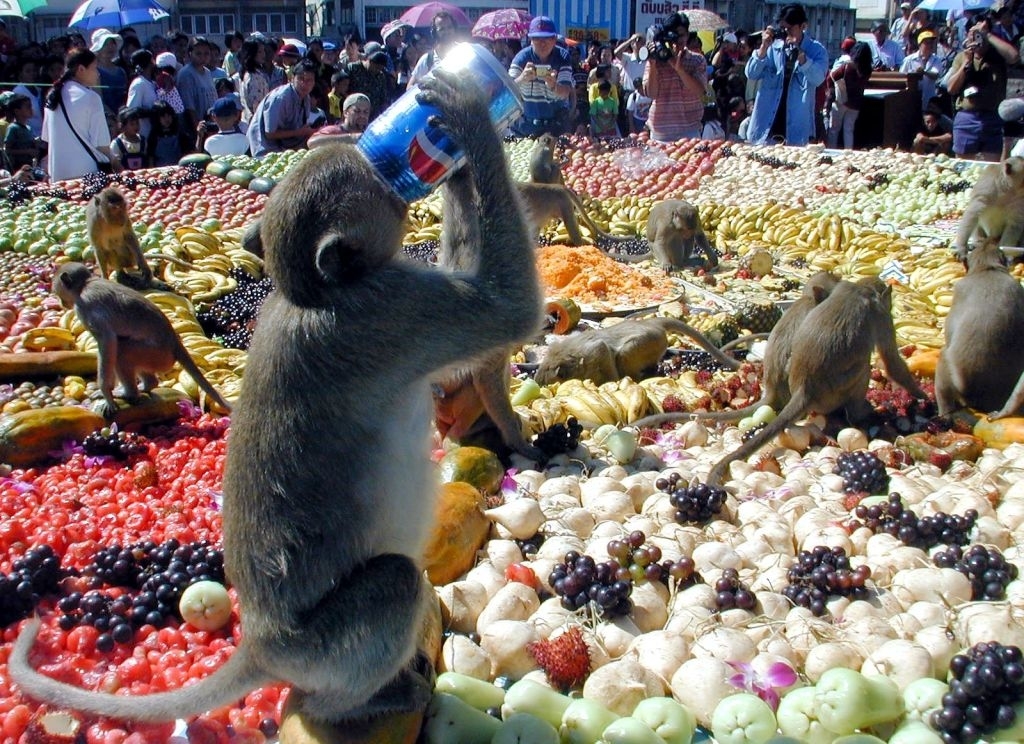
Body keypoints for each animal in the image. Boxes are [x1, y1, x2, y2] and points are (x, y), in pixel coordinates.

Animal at [49, 264, 232, 421]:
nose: (61, 302)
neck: (86, 284)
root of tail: (175, 341)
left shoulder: (84, 308)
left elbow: (107, 342)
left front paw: (106, 394)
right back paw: (149, 385)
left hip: (157, 354)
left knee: (122, 350)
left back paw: (130, 393)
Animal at [532, 315, 741, 386]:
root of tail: (653, 323)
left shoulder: (590, 355)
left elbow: (602, 349)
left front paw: (612, 383)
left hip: (650, 341)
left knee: (625, 353)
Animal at [704, 278, 929, 489]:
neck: (859, 289)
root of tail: (804, 391)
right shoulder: (882, 316)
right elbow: (891, 362)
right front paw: (924, 398)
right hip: (835, 393)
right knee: (864, 367)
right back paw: (860, 416)